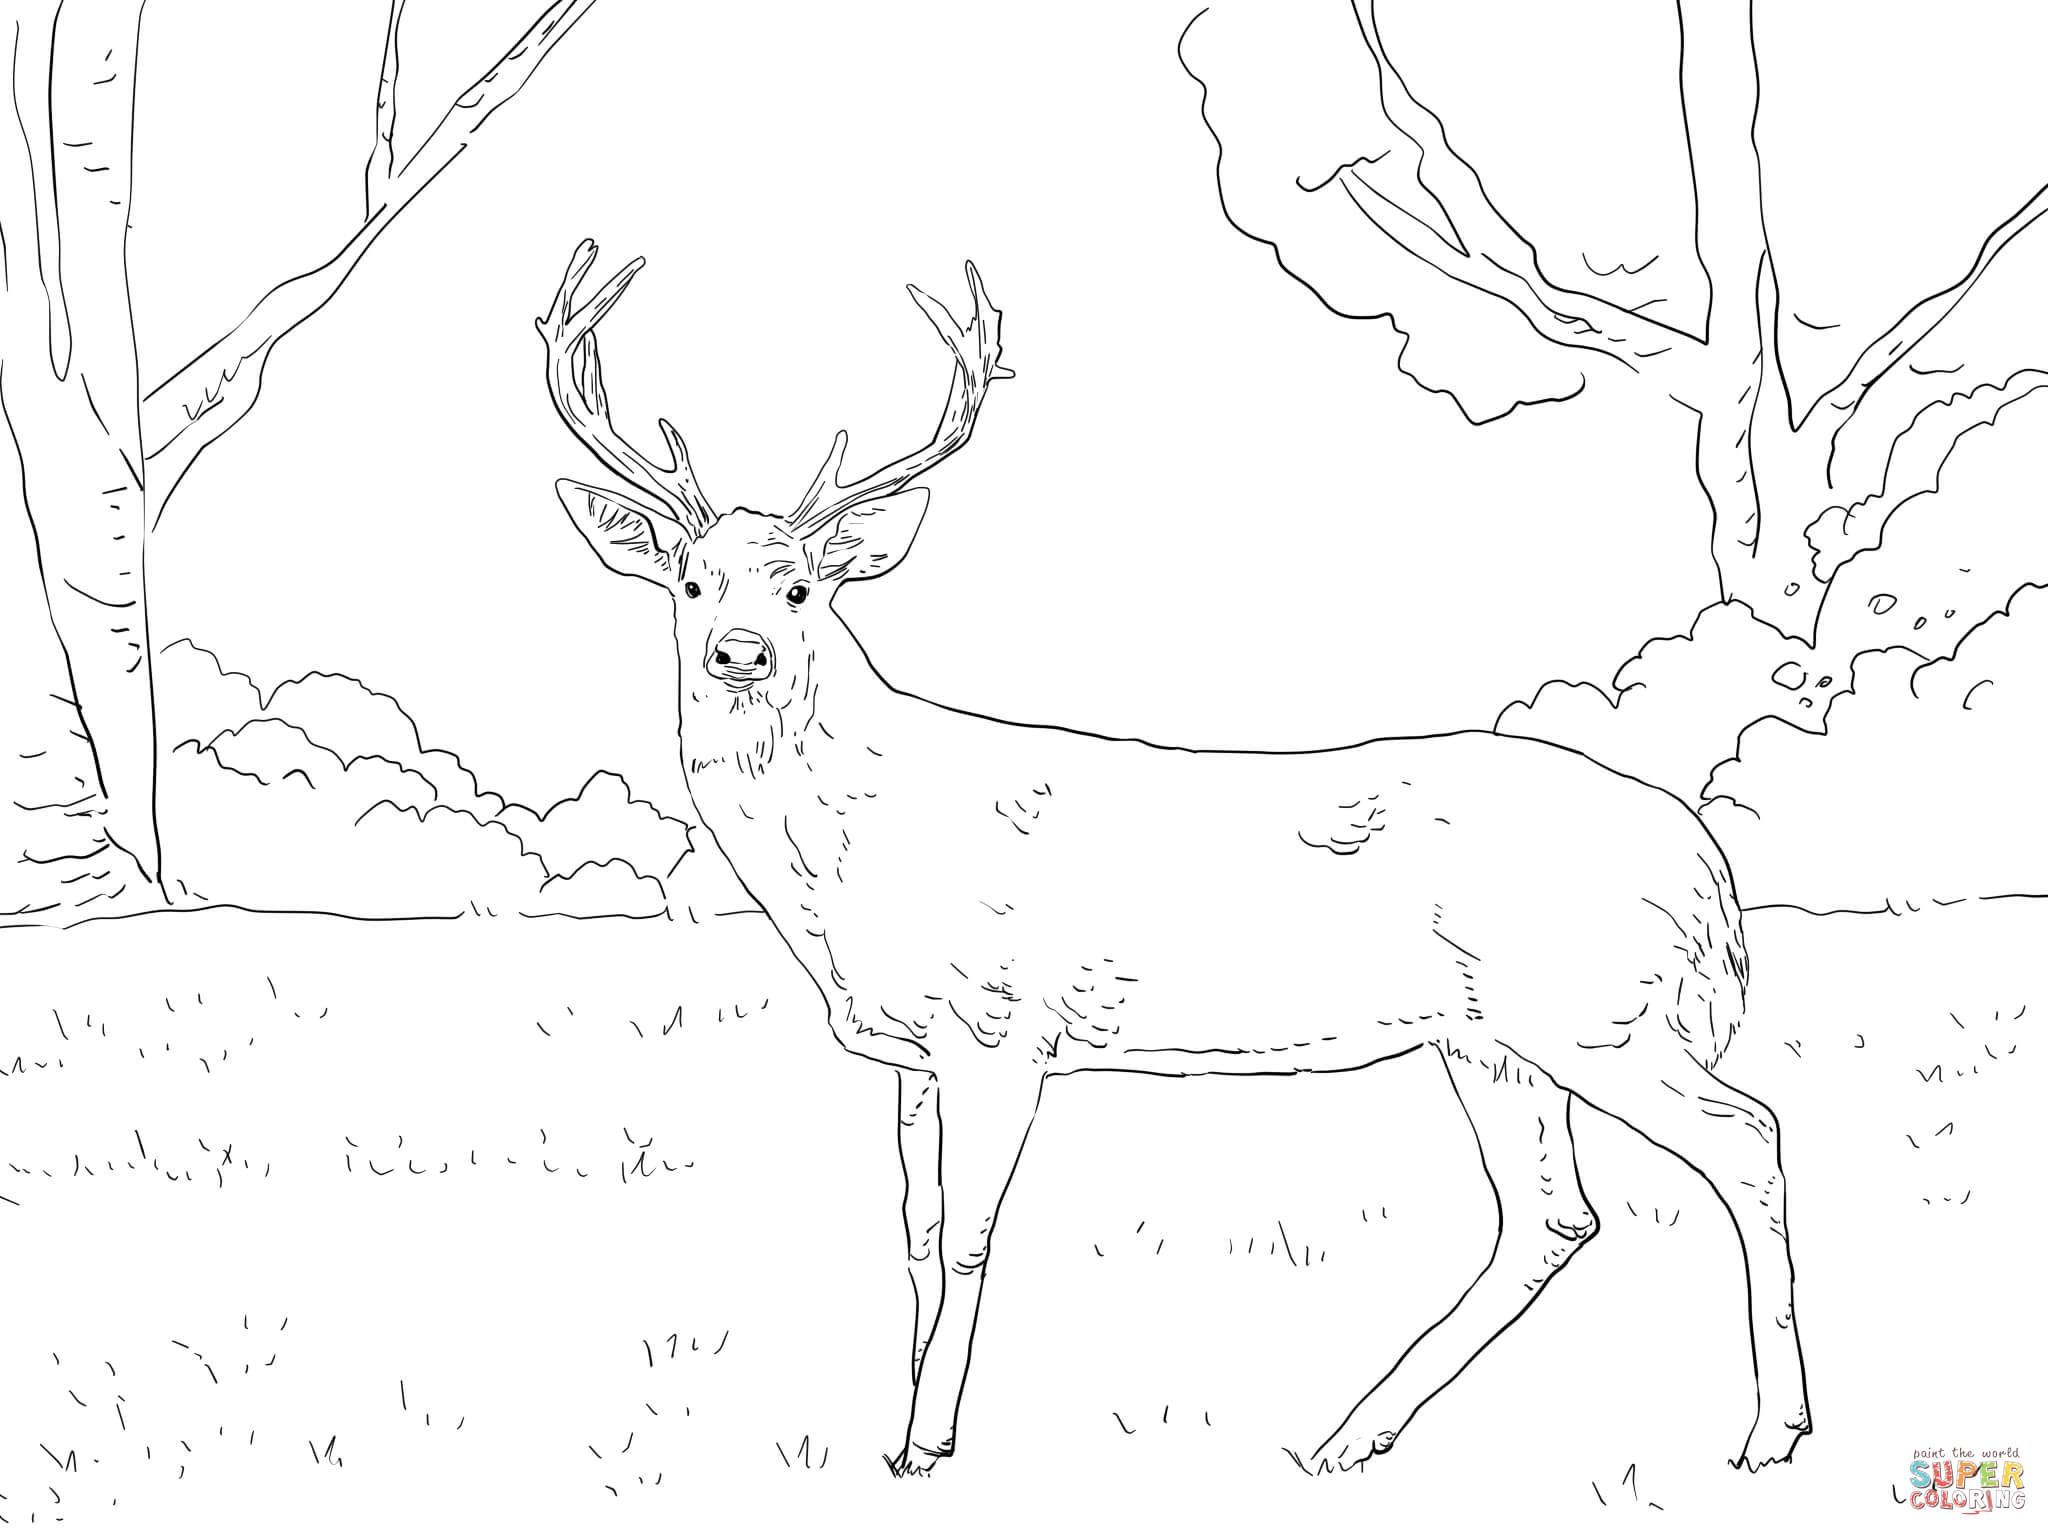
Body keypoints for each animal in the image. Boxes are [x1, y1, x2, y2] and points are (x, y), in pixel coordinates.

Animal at [534, 239, 1811, 1478]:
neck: (851, 860)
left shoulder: (1001, 1033)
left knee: (1746, 1139)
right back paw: (1344, 1437)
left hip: (1598, 1015)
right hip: (1493, 1042)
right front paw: (894, 1429)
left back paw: (1767, 1434)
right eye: (689, 583)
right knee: (1555, 1218)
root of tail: (1704, 870)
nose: (739, 651)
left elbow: (968, 1240)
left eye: (801, 587)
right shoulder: (908, 1053)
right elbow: (912, 1236)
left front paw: (930, 1444)